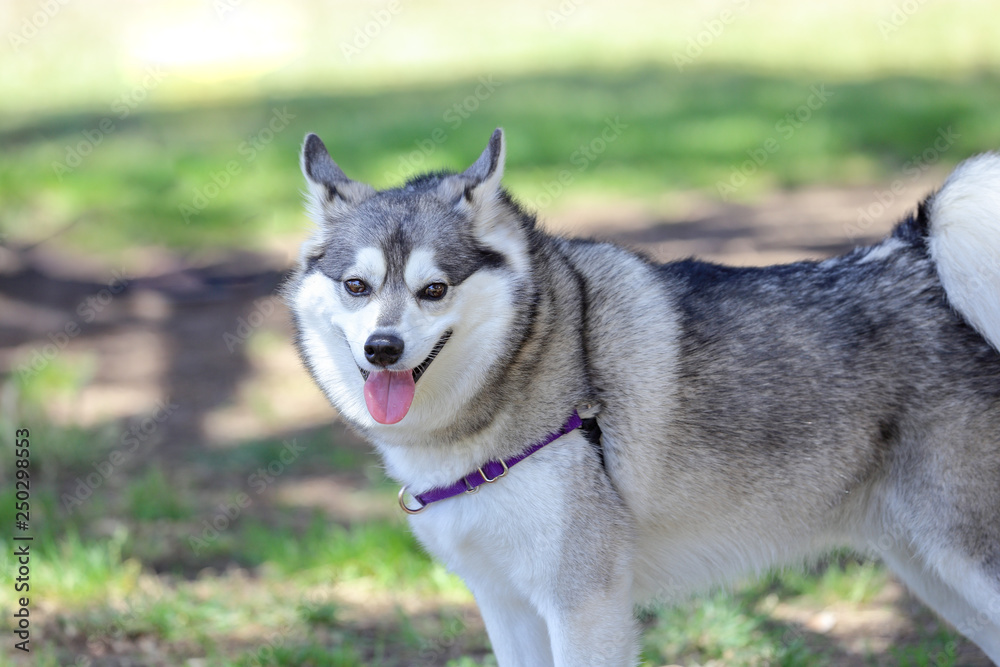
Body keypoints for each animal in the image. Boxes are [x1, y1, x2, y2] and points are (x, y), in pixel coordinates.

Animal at [288, 129, 1000, 664]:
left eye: (433, 289)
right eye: (356, 286)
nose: (382, 349)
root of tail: (919, 256)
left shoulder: (584, 604)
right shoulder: (507, 605)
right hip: (933, 571)